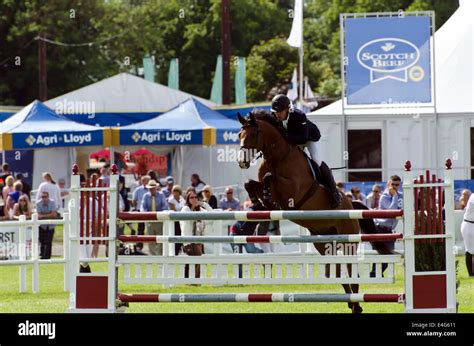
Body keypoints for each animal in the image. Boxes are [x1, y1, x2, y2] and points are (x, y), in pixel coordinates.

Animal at [236, 110, 388, 314]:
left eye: (252, 134)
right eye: (239, 134)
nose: (241, 162)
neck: (278, 157)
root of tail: (351, 203)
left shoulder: (292, 191)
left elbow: (271, 178)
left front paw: (266, 199)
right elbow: (251, 183)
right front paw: (259, 204)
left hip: (348, 239)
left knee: (350, 268)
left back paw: (357, 305)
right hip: (323, 243)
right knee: (337, 270)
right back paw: (350, 302)